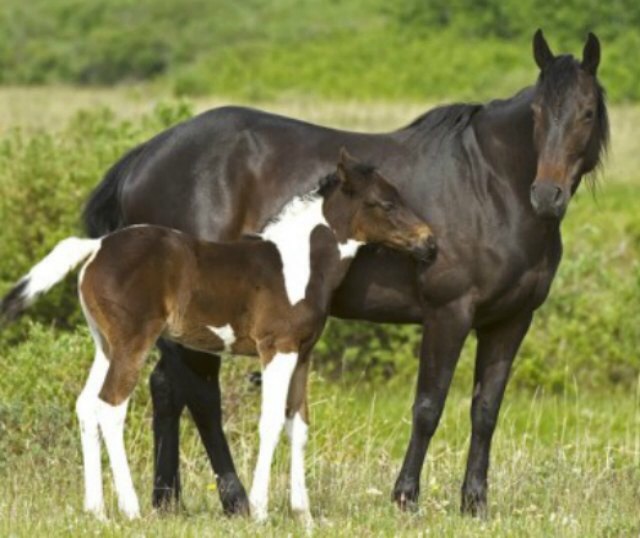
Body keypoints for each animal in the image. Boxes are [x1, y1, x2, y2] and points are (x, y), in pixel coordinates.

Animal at [0, 151, 438, 520]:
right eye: (385, 204)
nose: (430, 244)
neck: (298, 264)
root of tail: (98, 245)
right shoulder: (276, 349)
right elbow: (271, 422)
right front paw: (260, 510)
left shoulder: (302, 353)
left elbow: (298, 425)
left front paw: (304, 513)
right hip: (131, 343)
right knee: (110, 407)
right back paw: (131, 508)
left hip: (105, 346)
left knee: (85, 406)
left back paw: (96, 511)